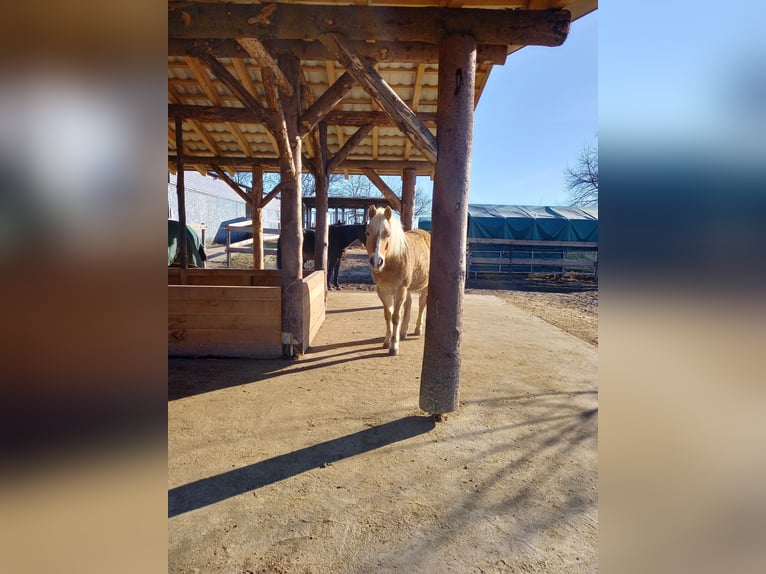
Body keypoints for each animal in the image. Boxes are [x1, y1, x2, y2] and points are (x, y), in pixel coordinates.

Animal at [366, 202, 432, 356]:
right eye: (368, 233)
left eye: (388, 234)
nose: (376, 262)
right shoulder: (382, 291)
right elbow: (388, 315)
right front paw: (387, 341)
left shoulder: (400, 289)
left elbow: (396, 316)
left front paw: (394, 346)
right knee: (409, 304)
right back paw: (403, 332)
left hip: (424, 286)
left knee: (421, 304)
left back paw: (417, 329)